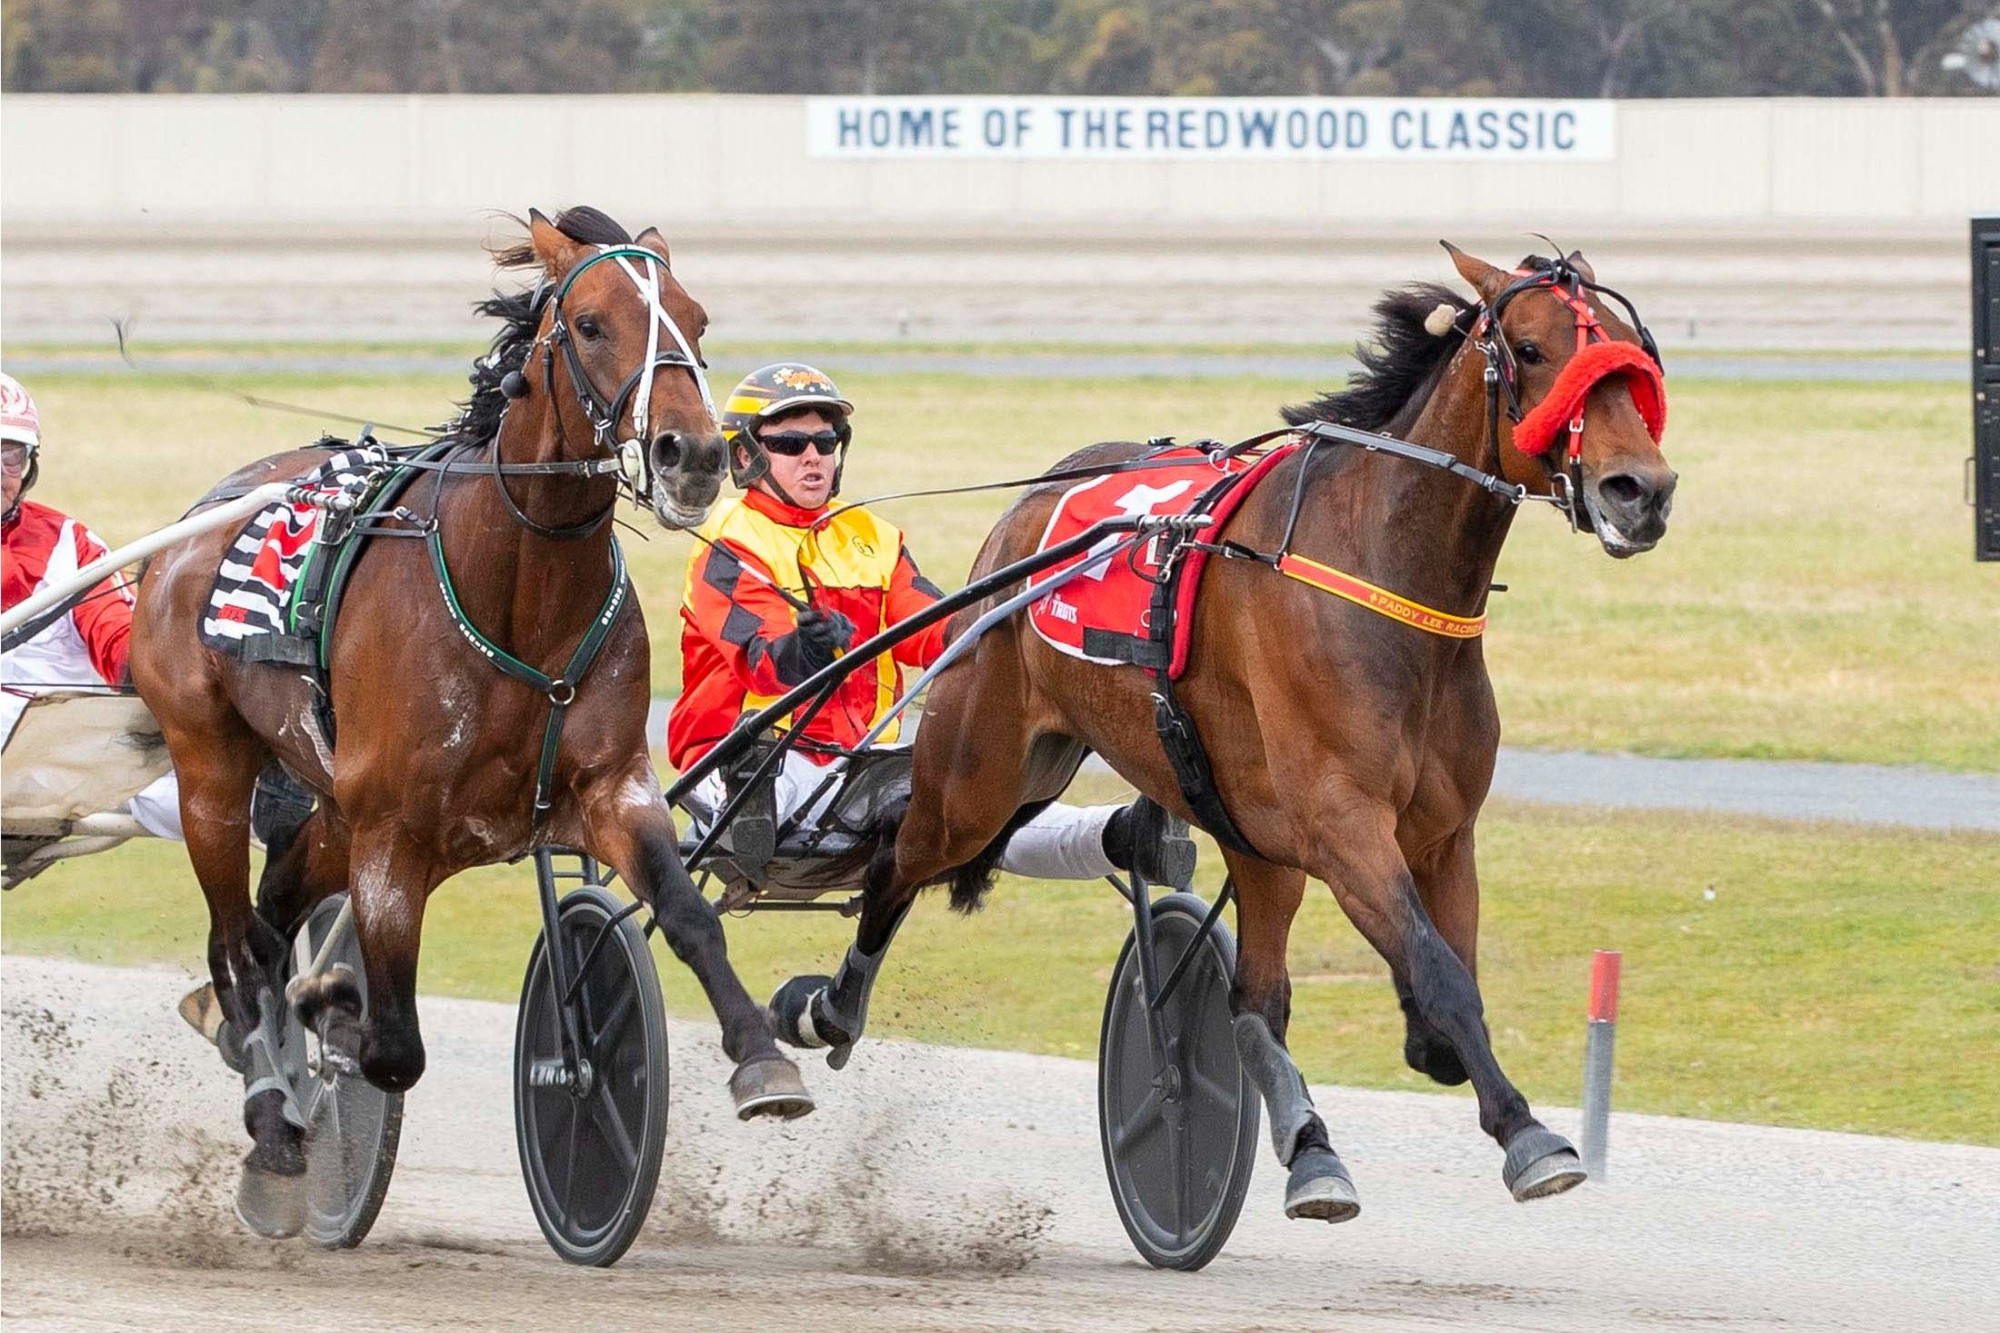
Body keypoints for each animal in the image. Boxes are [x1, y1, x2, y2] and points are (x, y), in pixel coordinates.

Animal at [133, 208, 812, 1232]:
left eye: (696, 317)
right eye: (590, 325)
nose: (693, 455)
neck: (519, 593)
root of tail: (212, 508)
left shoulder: (609, 787)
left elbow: (689, 913)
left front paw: (762, 1058)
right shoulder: (394, 832)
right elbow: (391, 1047)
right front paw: (332, 1018)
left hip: (331, 806)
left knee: (271, 908)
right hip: (212, 765)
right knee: (237, 945)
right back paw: (275, 1117)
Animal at [772, 244, 1680, 1216]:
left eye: (1633, 353)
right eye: (1532, 348)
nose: (1642, 490)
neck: (1381, 574)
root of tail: (1029, 509)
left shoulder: (1438, 833)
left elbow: (1436, 975)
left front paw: (1433, 1062)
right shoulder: (1343, 824)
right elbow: (1442, 975)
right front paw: (1529, 1132)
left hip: (1225, 822)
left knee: (1253, 995)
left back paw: (1308, 1143)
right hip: (979, 775)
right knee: (896, 860)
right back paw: (827, 1007)